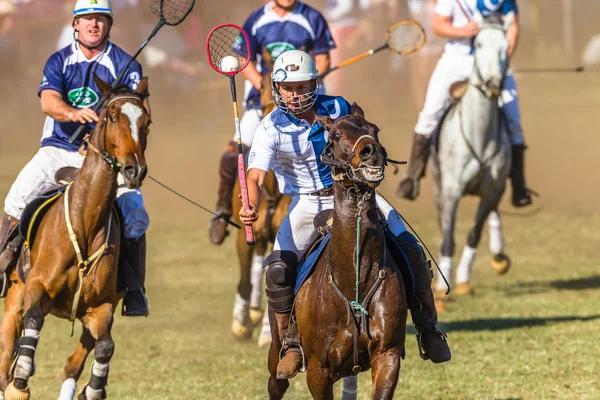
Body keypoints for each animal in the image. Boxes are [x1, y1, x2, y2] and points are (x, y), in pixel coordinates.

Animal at [432, 11, 516, 296]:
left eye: (505, 46)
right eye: (477, 44)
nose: (492, 83)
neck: (479, 135)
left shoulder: (492, 188)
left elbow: (474, 233)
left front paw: (463, 279)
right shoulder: (451, 190)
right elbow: (448, 237)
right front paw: (441, 283)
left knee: (494, 215)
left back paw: (499, 254)